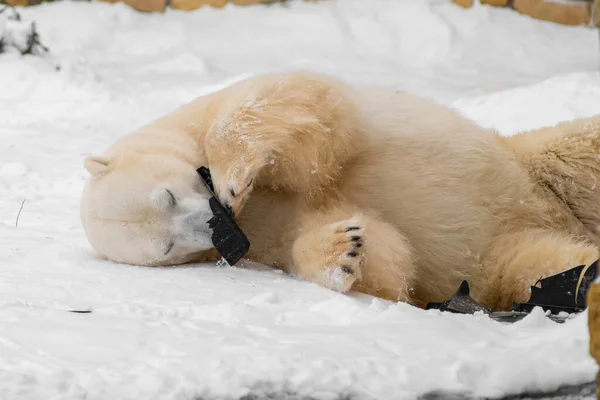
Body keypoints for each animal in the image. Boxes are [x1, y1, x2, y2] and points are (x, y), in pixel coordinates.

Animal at [79, 71, 600, 310]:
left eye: (165, 196)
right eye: (166, 247)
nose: (211, 223)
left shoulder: (204, 112)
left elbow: (306, 107)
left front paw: (233, 175)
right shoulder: (262, 242)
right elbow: (383, 257)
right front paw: (344, 249)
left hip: (533, 162)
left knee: (580, 151)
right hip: (503, 253)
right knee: (535, 261)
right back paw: (577, 279)